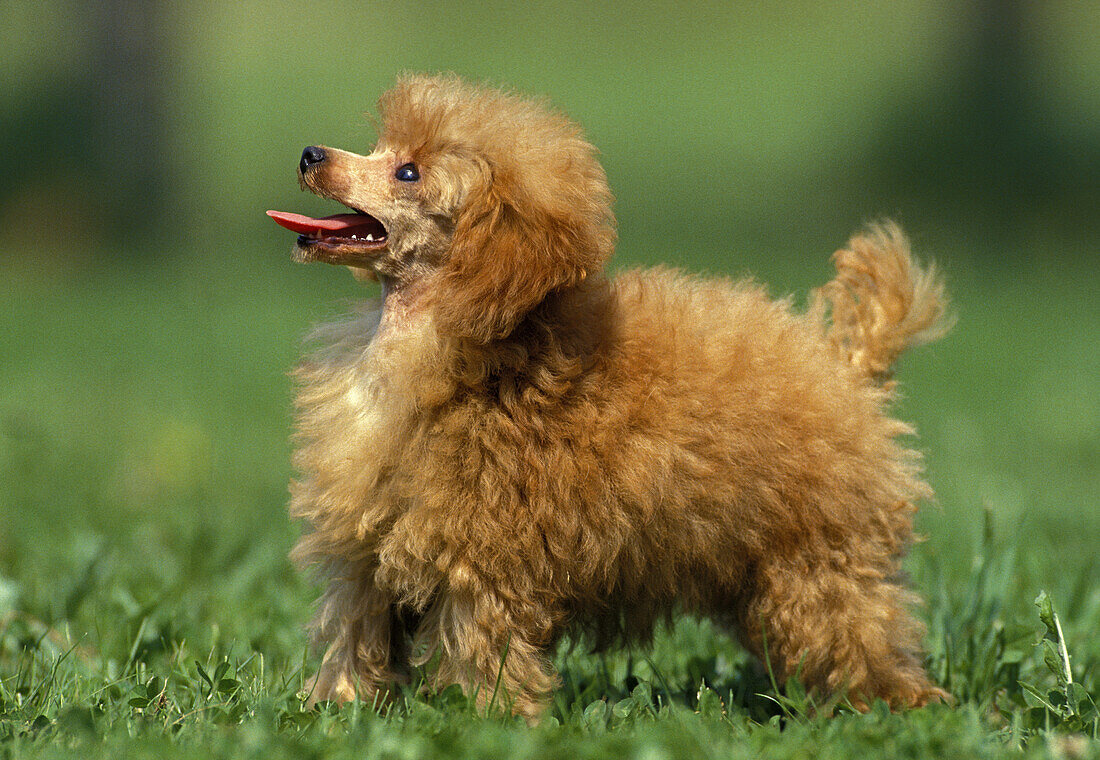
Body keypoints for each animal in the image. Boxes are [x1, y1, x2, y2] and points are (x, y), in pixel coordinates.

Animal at [268, 72, 954, 721]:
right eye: (382, 147)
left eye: (407, 172)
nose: (308, 154)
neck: (444, 348)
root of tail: (846, 364)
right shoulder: (366, 552)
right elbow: (354, 636)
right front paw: (334, 710)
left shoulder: (482, 563)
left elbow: (481, 652)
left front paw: (489, 719)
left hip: (819, 560)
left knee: (860, 638)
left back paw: (901, 707)